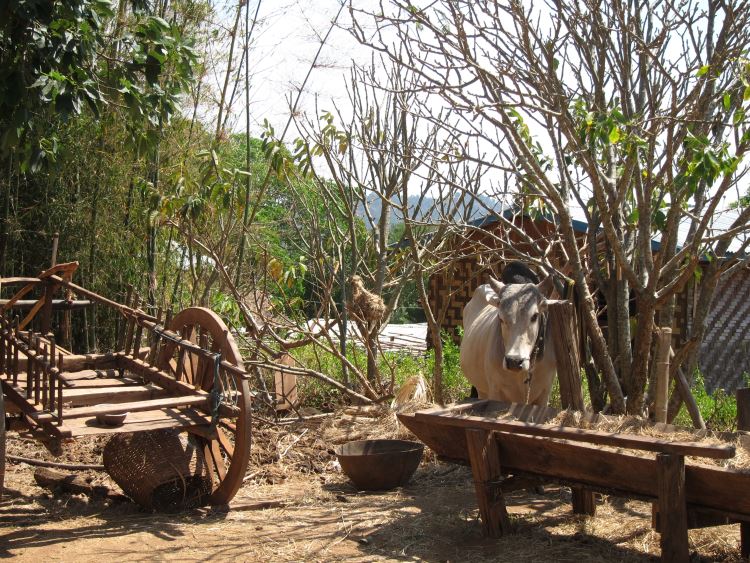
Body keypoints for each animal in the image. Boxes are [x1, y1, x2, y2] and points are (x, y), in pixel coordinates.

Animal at [458, 276, 560, 406]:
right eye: (500, 318)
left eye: (534, 316)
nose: (514, 361)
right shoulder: (495, 391)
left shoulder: (544, 393)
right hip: (482, 390)